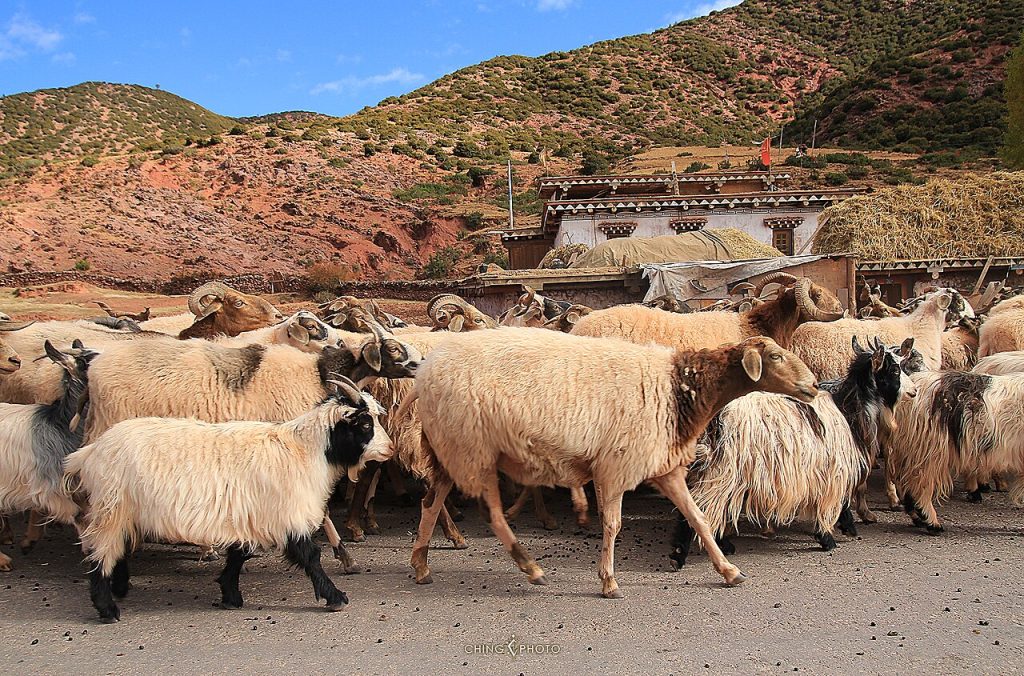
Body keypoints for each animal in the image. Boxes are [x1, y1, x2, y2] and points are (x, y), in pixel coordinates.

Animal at [64, 376, 391, 622]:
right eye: (364, 424)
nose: (388, 450)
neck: (304, 451)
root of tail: (90, 452)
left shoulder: (249, 515)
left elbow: (239, 554)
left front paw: (230, 595)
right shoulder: (287, 514)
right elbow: (309, 556)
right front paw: (335, 596)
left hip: (122, 511)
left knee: (116, 548)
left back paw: (120, 587)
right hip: (111, 509)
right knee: (100, 554)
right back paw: (107, 608)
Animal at [402, 328, 819, 598]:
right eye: (776, 356)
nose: (814, 386)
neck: (681, 390)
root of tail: (424, 375)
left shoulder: (663, 465)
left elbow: (698, 517)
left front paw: (729, 571)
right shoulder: (616, 466)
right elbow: (613, 525)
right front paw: (609, 582)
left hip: (450, 447)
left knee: (431, 501)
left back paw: (421, 566)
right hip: (473, 448)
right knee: (490, 513)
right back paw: (530, 568)